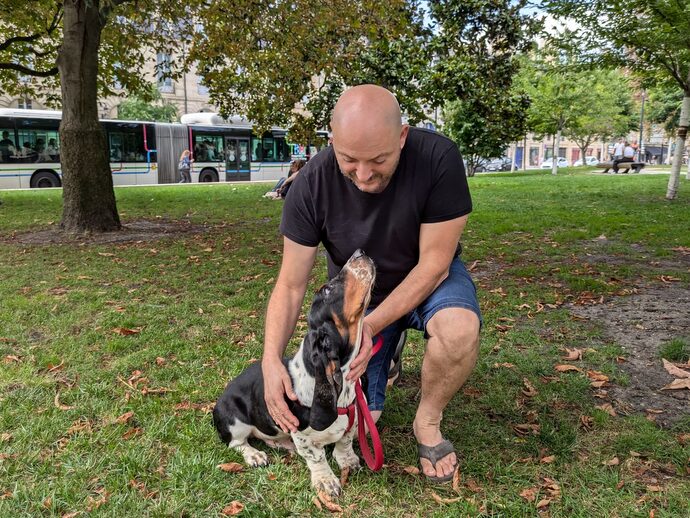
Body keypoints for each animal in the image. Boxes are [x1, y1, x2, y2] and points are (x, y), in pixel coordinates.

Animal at [215, 250, 376, 498]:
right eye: (327, 289)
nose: (360, 252)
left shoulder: (353, 422)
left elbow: (345, 442)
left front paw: (348, 461)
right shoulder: (302, 436)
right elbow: (316, 457)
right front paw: (326, 482)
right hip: (234, 421)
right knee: (238, 443)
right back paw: (254, 455)